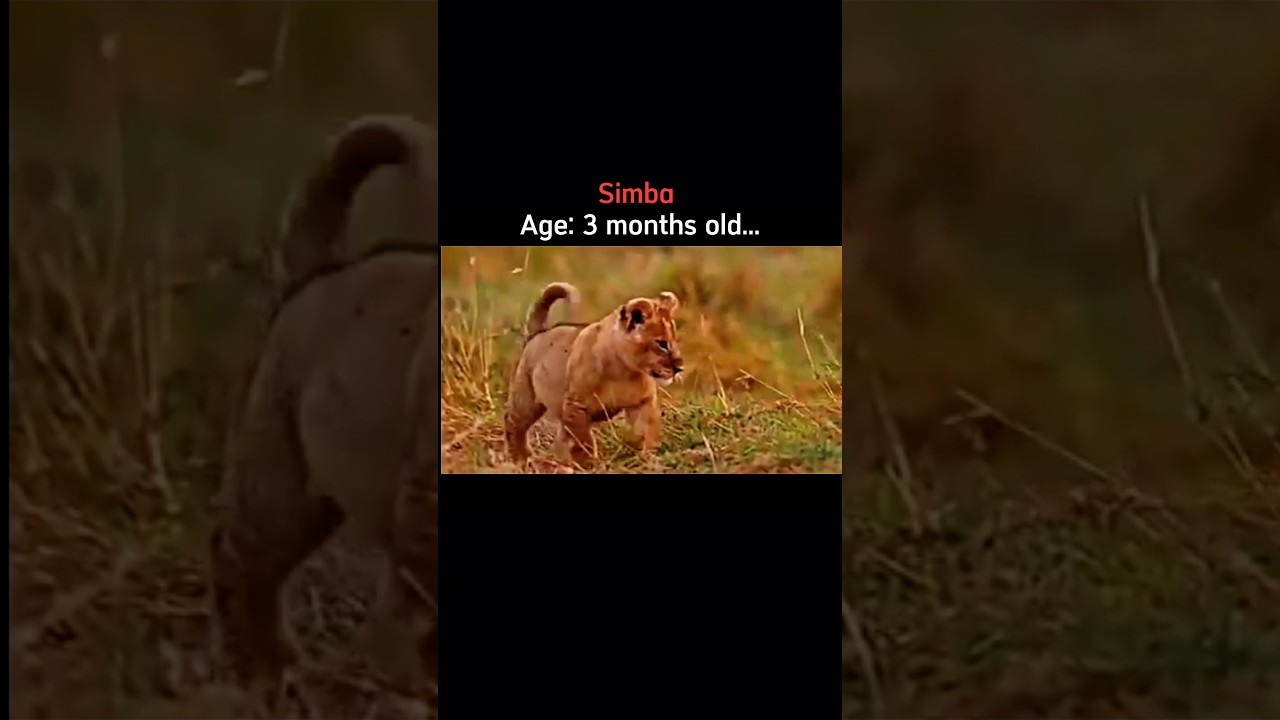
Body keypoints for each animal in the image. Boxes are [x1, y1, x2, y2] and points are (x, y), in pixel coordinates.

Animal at [504, 282, 685, 469]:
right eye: (662, 344)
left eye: (675, 340)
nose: (679, 367)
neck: (623, 372)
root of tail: (539, 332)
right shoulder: (576, 406)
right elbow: (584, 442)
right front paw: (590, 465)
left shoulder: (643, 402)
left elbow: (646, 432)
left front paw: (647, 459)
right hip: (526, 399)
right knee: (513, 422)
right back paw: (520, 458)